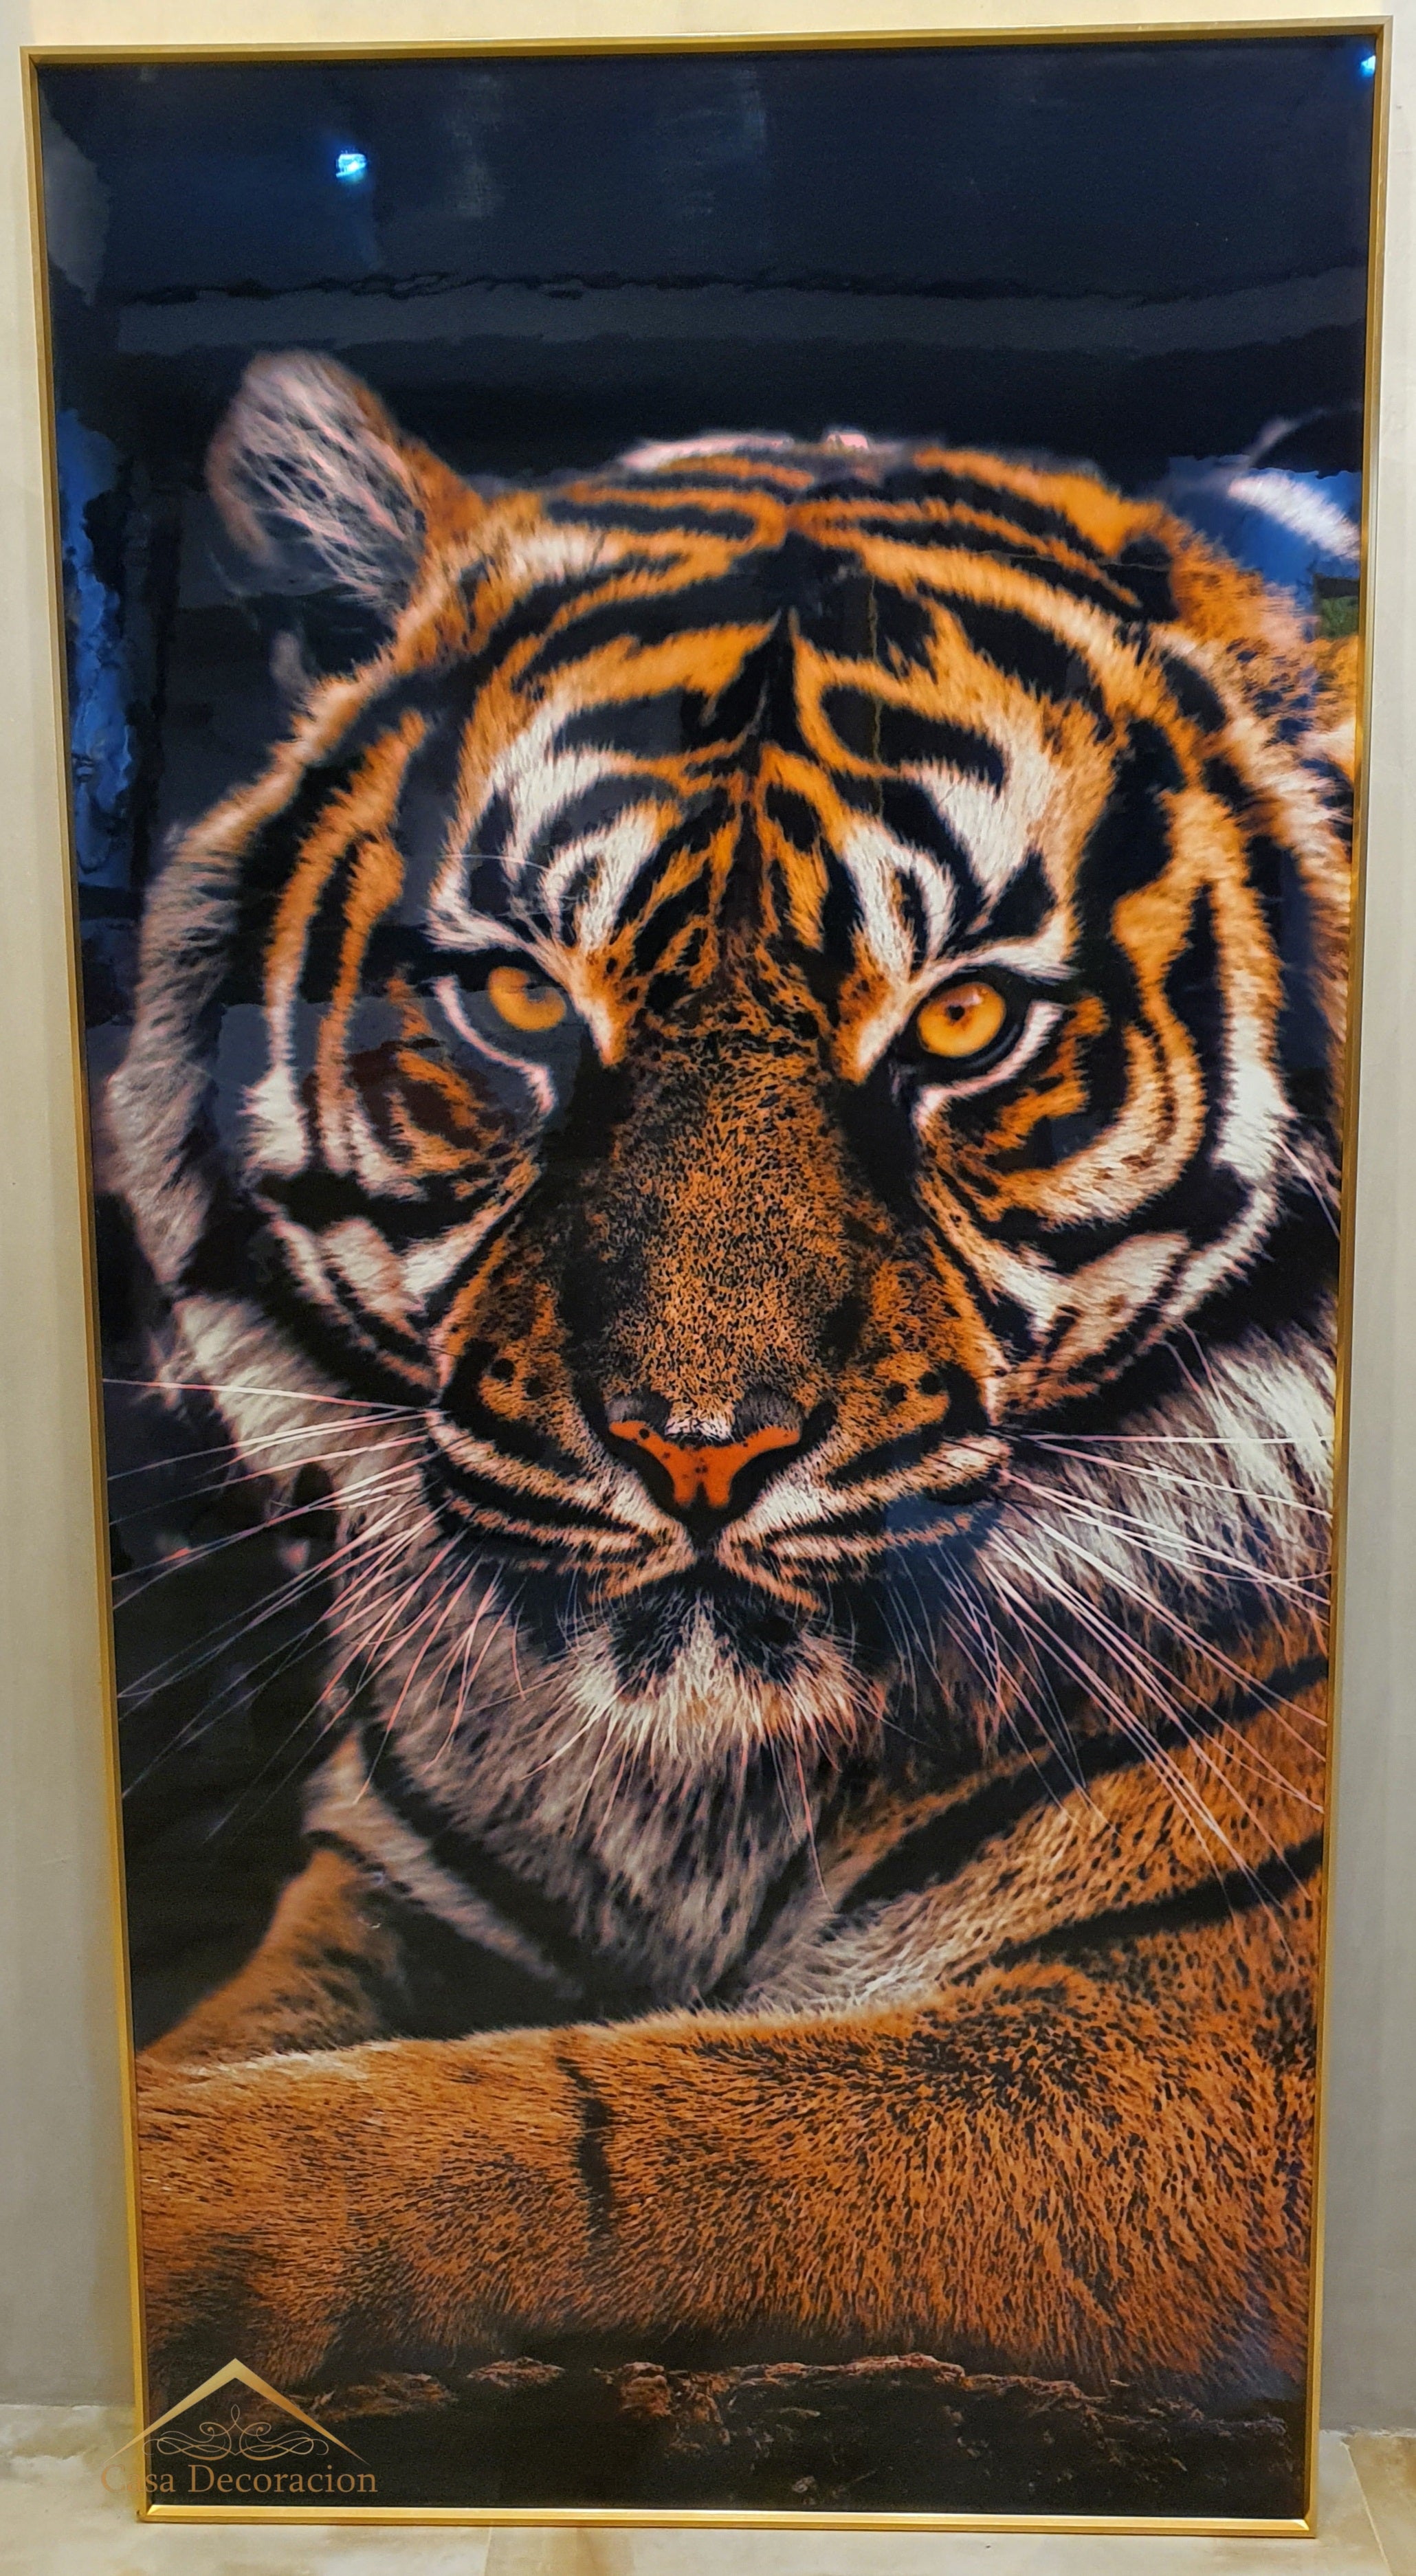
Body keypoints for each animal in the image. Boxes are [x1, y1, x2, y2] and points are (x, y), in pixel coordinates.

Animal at [112, 353, 1351, 2446]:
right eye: (522, 1004)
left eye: (962, 1019)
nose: (702, 1451)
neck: (696, 1784)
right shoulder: (396, 1897)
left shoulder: (1206, 2036)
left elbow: (582, 2125)